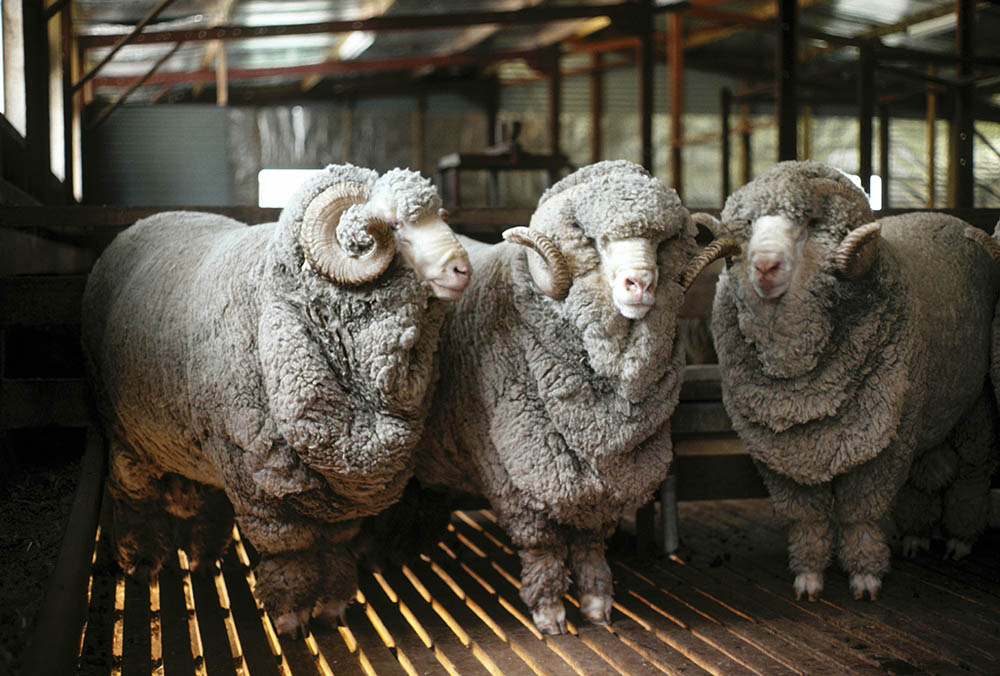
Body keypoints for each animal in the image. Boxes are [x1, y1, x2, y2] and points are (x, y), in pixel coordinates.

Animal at [81, 163, 471, 635]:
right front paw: (291, 615)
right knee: (134, 497)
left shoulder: (340, 491)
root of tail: (150, 218)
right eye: (395, 226)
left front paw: (333, 605)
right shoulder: (260, 477)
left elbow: (333, 547)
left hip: (194, 440)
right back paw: (141, 560)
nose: (462, 270)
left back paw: (203, 557)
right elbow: (291, 551)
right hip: (124, 429)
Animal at [367, 160, 736, 635]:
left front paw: (598, 605)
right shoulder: (518, 472)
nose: (639, 284)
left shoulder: (606, 480)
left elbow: (591, 543)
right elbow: (543, 544)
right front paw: (549, 612)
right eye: (596, 242)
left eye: (660, 243)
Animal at [702, 160, 1000, 602]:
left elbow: (860, 513)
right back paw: (916, 536)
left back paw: (960, 541)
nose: (764, 266)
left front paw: (865, 577)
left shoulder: (878, 448)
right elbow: (807, 518)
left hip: (970, 409)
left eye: (809, 224)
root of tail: (941, 215)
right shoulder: (783, 454)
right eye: (750, 224)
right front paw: (808, 578)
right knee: (922, 479)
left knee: (972, 474)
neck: (802, 391)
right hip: (921, 410)